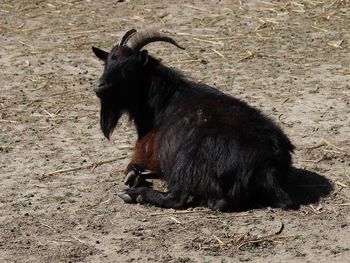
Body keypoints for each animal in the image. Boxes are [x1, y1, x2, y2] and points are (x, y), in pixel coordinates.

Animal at [91, 28, 296, 211]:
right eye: (107, 62)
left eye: (130, 66)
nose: (99, 86)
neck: (165, 101)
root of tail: (266, 164)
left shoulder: (148, 152)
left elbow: (131, 165)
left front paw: (133, 178)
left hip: (186, 163)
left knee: (180, 198)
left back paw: (134, 194)